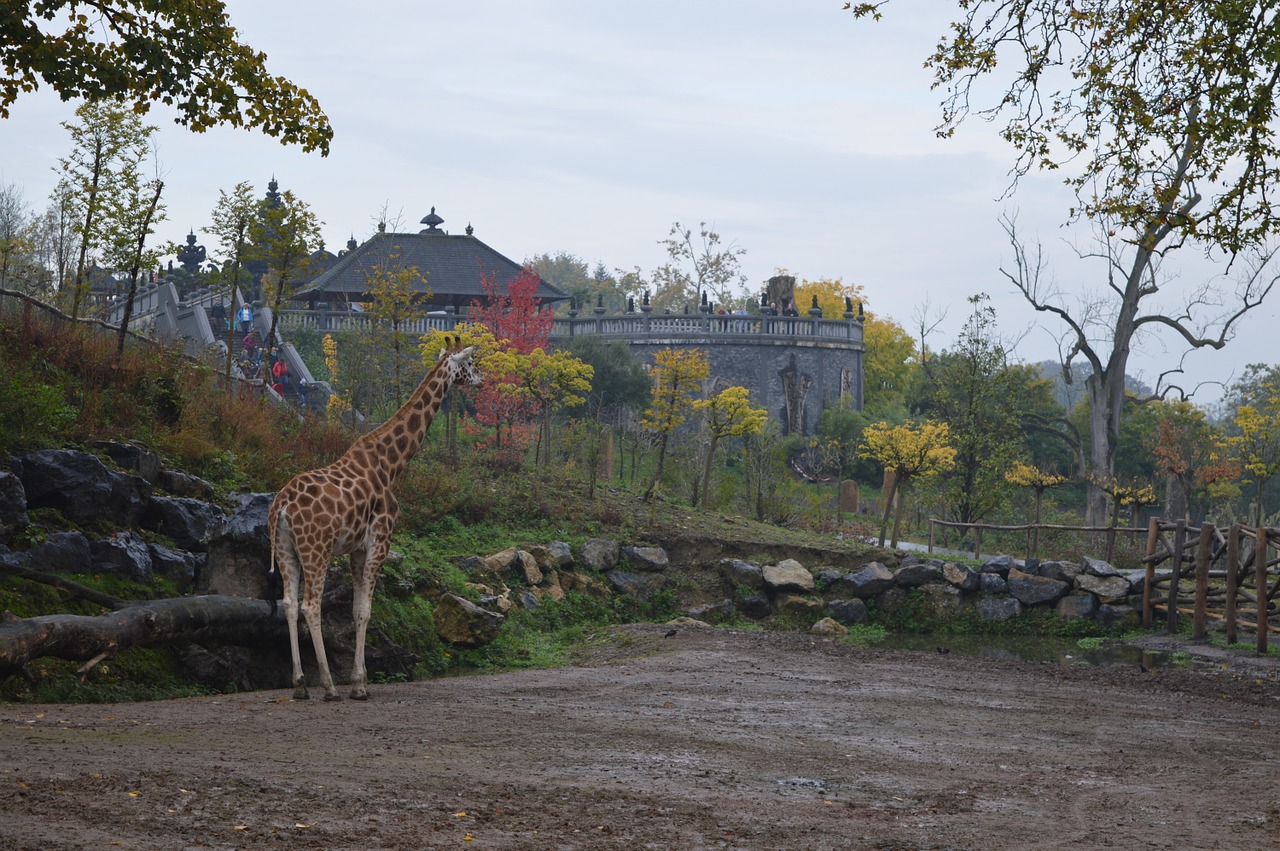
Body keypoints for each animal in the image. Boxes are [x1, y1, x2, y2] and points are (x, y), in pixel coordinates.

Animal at [267, 335, 481, 701]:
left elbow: (355, 611)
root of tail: (281, 507)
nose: (481, 380)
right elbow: (366, 611)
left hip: (285, 551)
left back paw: (299, 685)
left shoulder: (355, 548)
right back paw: (328, 686)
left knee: (290, 604)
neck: (391, 464)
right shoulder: (381, 539)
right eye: (469, 363)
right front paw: (358, 684)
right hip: (316, 550)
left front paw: (358, 680)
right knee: (311, 606)